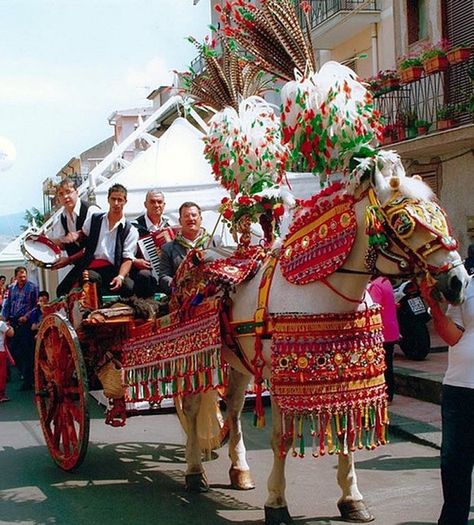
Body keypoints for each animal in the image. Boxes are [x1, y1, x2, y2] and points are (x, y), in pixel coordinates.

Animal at [179, 169, 470, 524]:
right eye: (403, 223)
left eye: (440, 216)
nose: (458, 282)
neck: (321, 289)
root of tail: (200, 255)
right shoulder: (280, 379)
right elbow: (282, 438)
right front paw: (276, 502)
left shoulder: (344, 372)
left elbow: (346, 434)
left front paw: (352, 499)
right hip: (200, 358)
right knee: (193, 409)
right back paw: (195, 472)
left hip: (239, 360)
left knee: (233, 408)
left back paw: (241, 471)